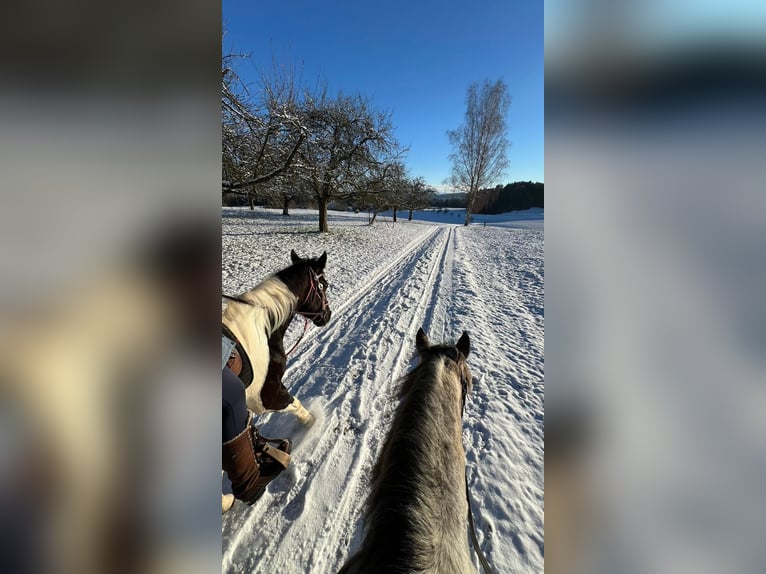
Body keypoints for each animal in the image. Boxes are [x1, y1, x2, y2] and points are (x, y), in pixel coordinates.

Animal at [222, 249, 331, 426]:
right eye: (325, 285)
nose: (328, 315)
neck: (261, 329)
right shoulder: (266, 398)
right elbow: (296, 405)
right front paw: (312, 423)